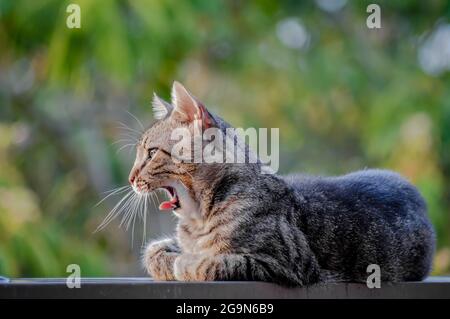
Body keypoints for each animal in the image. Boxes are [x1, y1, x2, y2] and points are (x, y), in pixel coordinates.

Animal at [128, 81, 438, 286]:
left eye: (151, 153)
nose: (131, 178)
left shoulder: (284, 264)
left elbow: (216, 262)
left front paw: (186, 263)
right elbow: (154, 251)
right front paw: (169, 258)